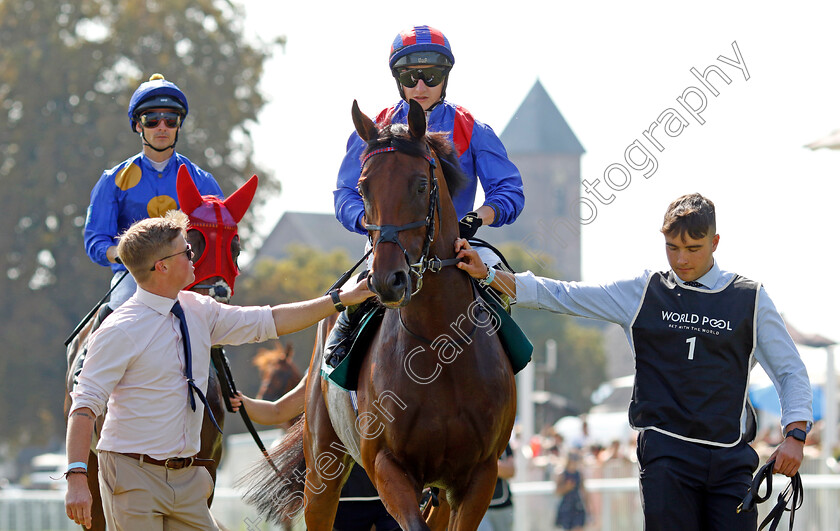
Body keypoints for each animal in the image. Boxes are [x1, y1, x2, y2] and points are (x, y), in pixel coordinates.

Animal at [241, 101, 520, 531]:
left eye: (420, 185)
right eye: (363, 187)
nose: (388, 280)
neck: (437, 346)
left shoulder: (479, 475)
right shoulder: (388, 467)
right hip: (322, 465)